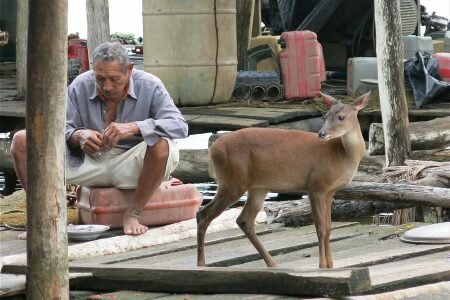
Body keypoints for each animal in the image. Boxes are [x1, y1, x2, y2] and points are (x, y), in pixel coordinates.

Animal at [196, 91, 370, 268]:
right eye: (326, 116)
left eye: (341, 117)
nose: (322, 134)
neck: (341, 155)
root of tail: (213, 149)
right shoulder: (316, 186)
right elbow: (320, 228)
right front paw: (322, 266)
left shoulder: (330, 191)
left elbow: (329, 228)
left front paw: (330, 265)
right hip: (232, 180)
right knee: (203, 214)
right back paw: (201, 263)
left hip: (257, 187)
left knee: (244, 220)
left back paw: (272, 263)